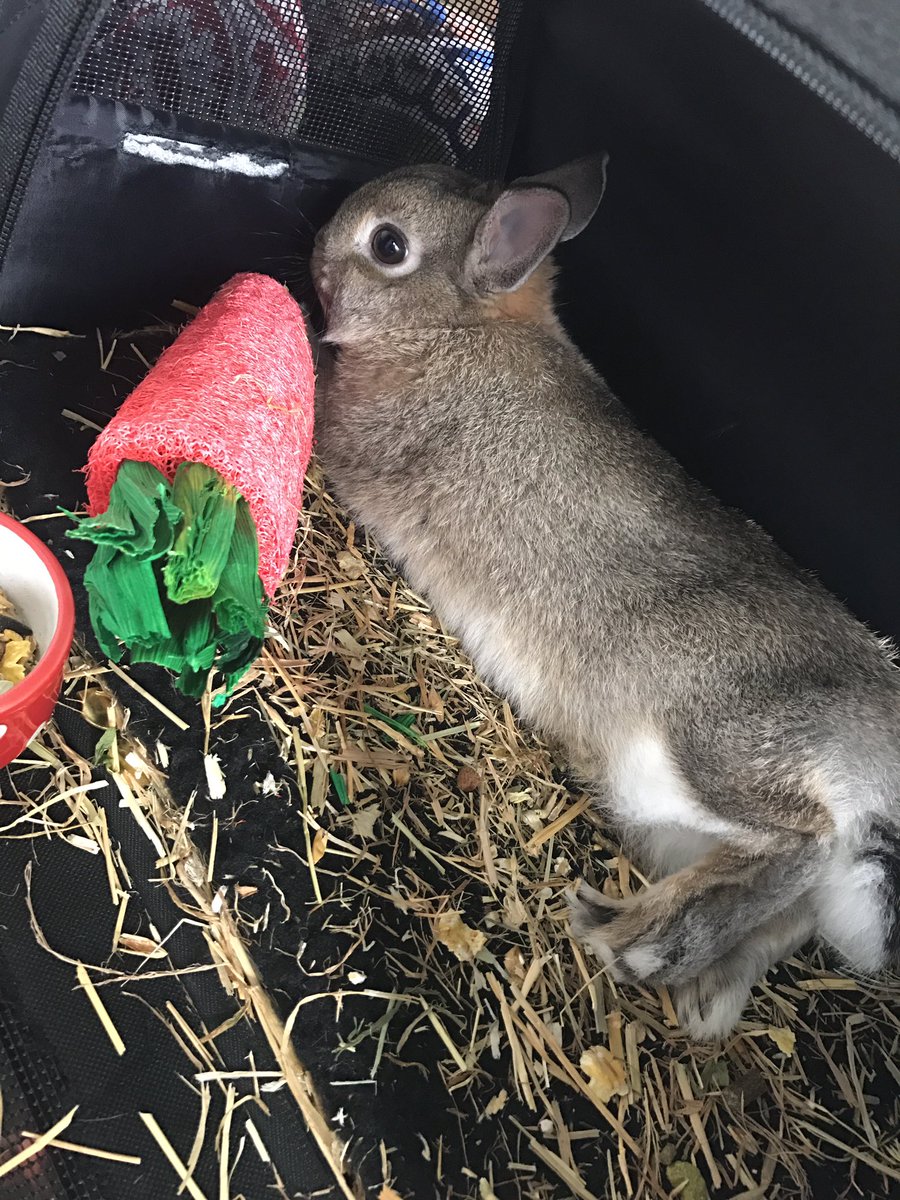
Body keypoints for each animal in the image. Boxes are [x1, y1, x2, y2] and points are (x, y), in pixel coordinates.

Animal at [310, 154, 900, 1040]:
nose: (315, 250)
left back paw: (636, 942)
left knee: (801, 837)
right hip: (687, 823)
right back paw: (699, 991)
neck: (457, 328)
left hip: (714, 741)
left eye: (388, 245)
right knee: (789, 911)